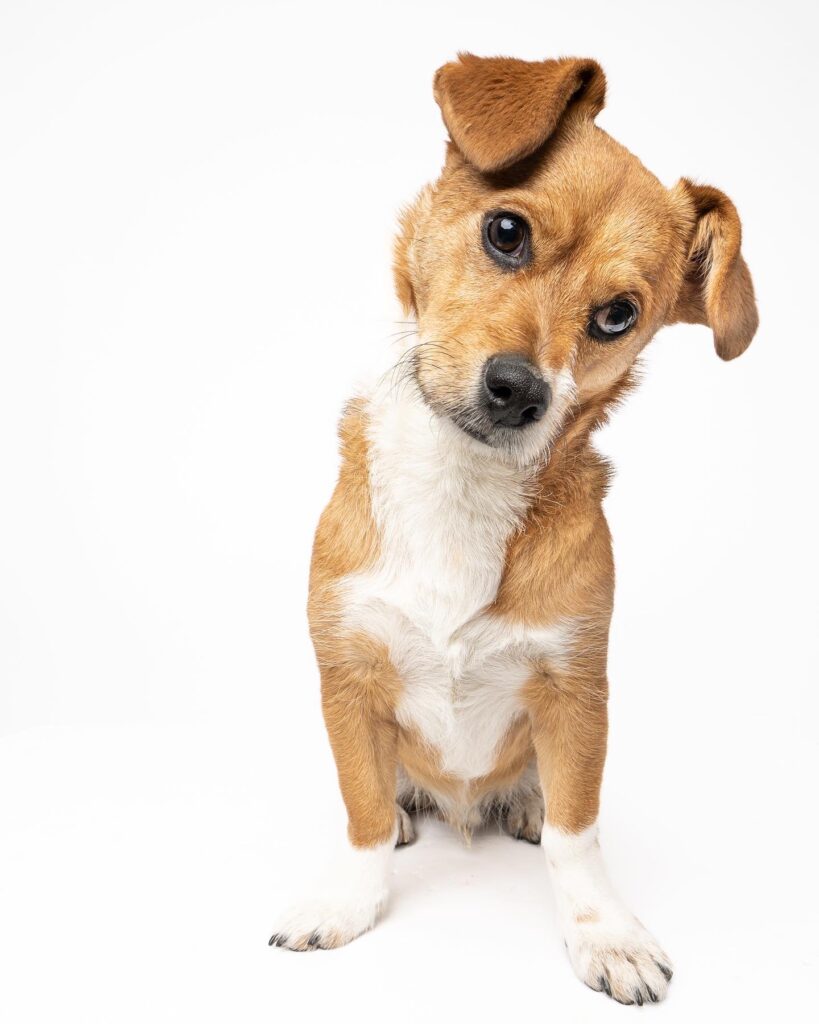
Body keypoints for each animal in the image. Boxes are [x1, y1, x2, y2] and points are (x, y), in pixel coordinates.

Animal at [266, 51, 753, 1003]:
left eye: (617, 315)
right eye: (504, 233)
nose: (518, 391)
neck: (461, 488)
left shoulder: (575, 689)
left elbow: (577, 832)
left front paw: (604, 933)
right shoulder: (346, 674)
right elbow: (360, 809)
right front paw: (347, 897)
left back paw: (520, 801)